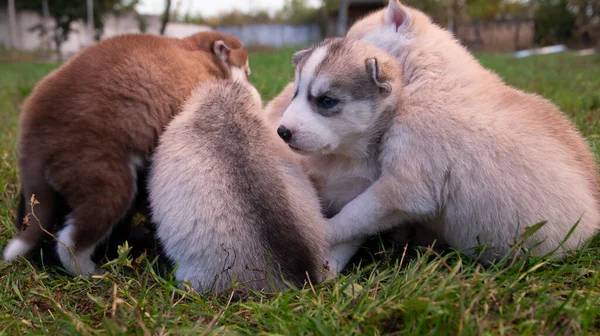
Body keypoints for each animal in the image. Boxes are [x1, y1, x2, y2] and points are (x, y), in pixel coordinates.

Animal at [2, 30, 251, 276]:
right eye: (247, 71)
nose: (250, 83)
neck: (198, 50)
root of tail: (35, 139)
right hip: (100, 169)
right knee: (74, 237)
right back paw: (89, 271)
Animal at [276, 30, 600, 270]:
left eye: (327, 101)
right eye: (295, 94)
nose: (282, 132)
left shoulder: (404, 188)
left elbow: (353, 216)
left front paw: (321, 233)